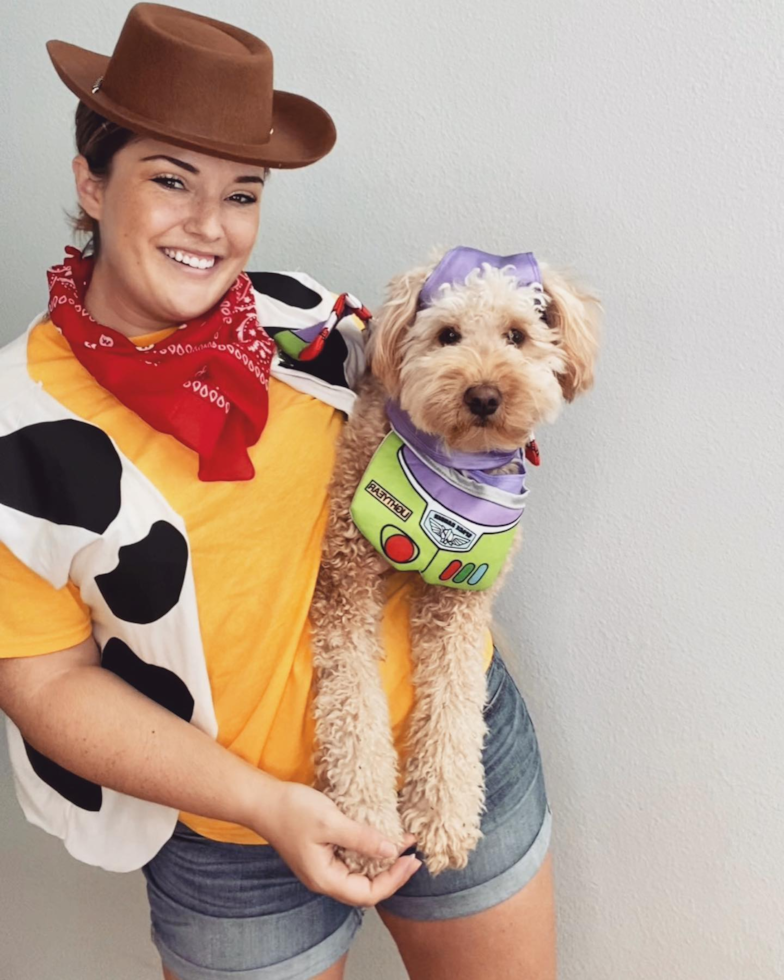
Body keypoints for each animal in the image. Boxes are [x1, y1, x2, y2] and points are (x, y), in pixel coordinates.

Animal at [308, 249, 600, 876]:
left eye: (517, 335)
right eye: (447, 335)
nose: (484, 395)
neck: (450, 466)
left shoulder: (460, 600)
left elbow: (454, 702)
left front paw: (442, 817)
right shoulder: (344, 581)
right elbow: (353, 709)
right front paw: (366, 828)